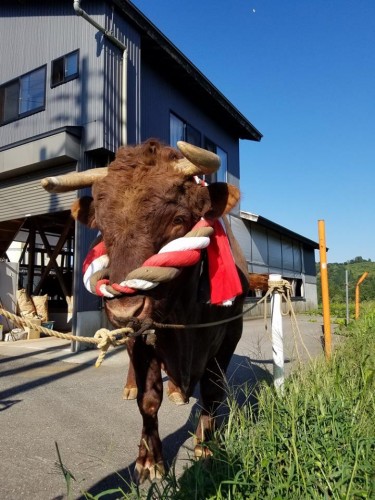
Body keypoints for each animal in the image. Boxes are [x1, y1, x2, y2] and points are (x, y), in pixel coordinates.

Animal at [41, 139, 250, 482]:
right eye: (102, 228)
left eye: (179, 220)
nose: (125, 308)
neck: (185, 318)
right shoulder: (143, 338)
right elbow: (148, 400)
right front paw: (149, 460)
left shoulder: (231, 333)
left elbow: (212, 392)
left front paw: (207, 448)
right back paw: (131, 388)